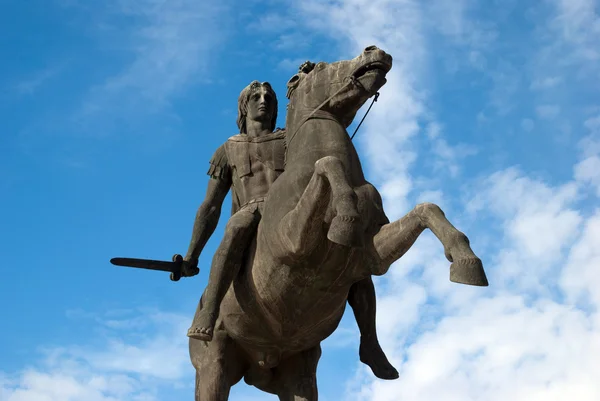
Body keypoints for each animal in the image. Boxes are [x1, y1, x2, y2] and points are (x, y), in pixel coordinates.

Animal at [190, 45, 490, 398]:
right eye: (318, 67)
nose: (375, 51)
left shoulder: (372, 256)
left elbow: (426, 209)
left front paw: (466, 263)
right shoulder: (291, 242)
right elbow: (329, 163)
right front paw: (345, 217)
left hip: (298, 373)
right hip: (215, 366)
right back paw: (201, 326)